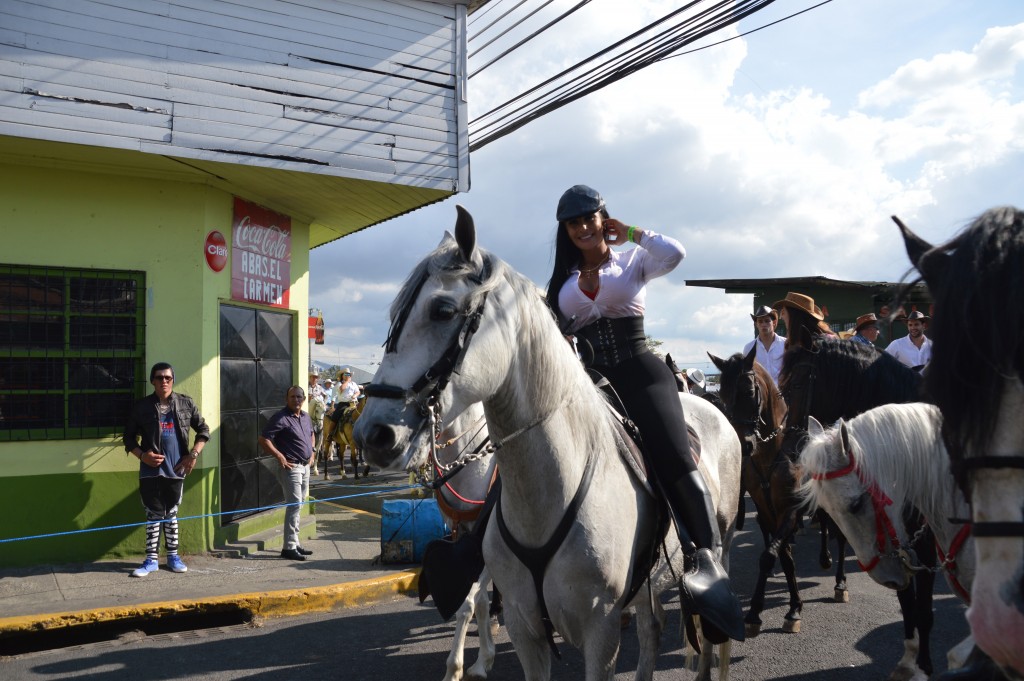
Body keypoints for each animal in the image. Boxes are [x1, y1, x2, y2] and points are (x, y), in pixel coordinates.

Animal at [708, 348, 802, 634]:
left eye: (749, 392)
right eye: (722, 396)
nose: (743, 445)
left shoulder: (790, 509)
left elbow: (769, 555)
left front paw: (791, 608)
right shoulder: (766, 509)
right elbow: (782, 556)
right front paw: (760, 611)